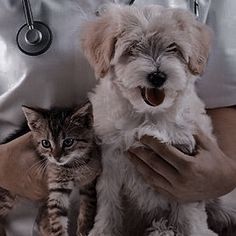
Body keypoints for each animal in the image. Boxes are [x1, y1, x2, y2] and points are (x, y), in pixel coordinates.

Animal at [0, 103, 101, 236]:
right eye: (45, 143)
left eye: (68, 142)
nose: (56, 157)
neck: (71, 166)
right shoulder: (56, 185)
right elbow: (57, 217)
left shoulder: (89, 177)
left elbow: (88, 203)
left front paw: (84, 228)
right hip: (8, 194)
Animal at [81, 3, 236, 236]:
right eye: (132, 48)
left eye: (173, 47)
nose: (157, 76)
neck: (148, 116)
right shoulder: (111, 162)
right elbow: (108, 203)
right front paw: (103, 230)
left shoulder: (187, 172)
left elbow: (189, 210)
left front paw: (194, 230)